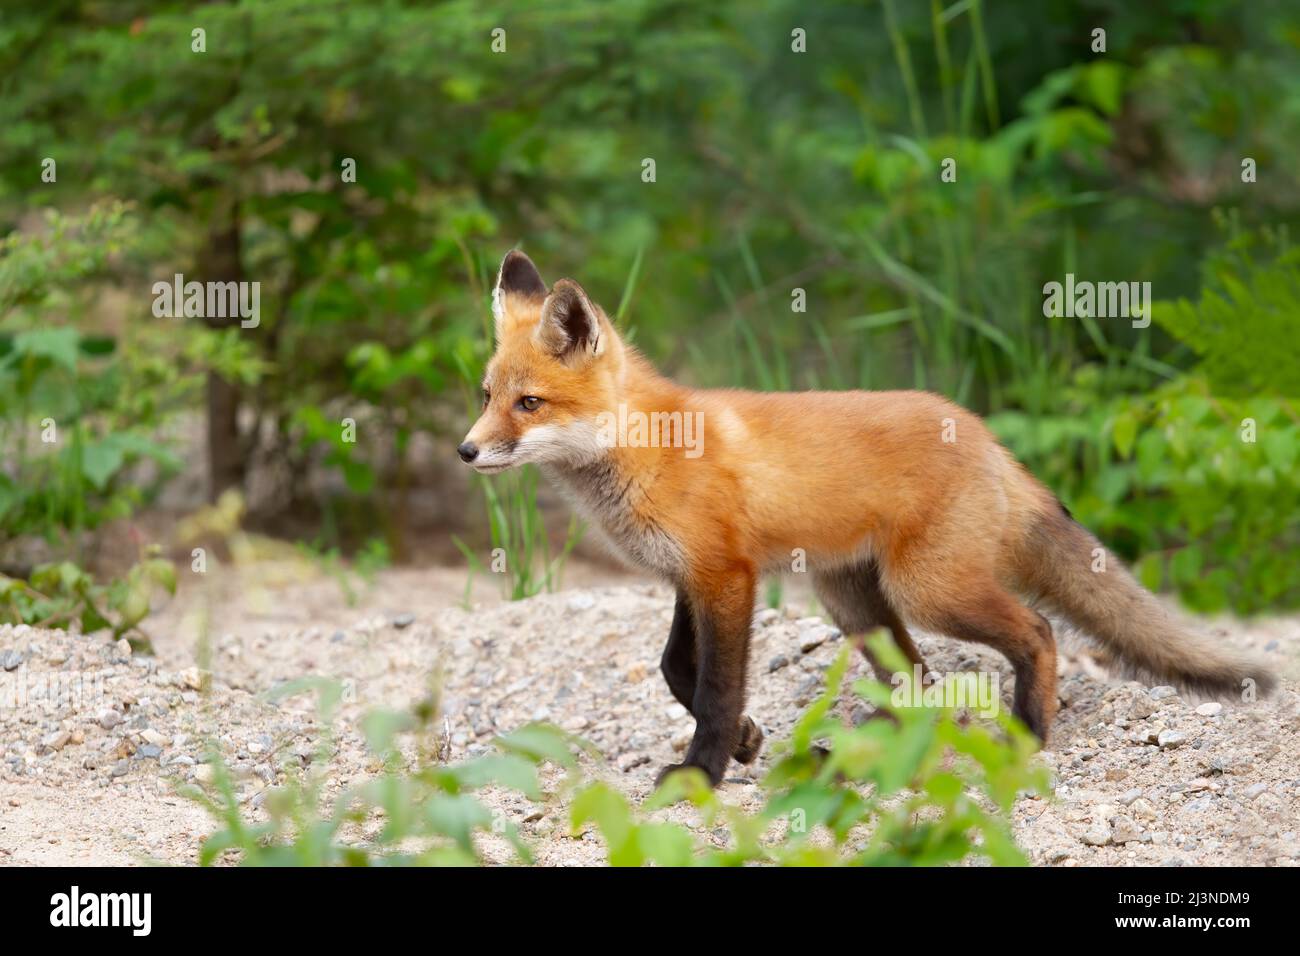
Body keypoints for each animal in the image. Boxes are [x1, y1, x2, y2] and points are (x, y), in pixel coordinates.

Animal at [458, 249, 1276, 787]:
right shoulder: (689, 577)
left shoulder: (725, 575)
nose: (467, 450)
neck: (648, 449)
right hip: (853, 603)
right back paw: (867, 758)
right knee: (917, 681)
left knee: (1039, 633)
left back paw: (1027, 735)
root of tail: (987, 437)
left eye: (529, 403)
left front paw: (703, 770)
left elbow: (715, 689)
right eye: (486, 394)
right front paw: (749, 742)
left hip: (926, 591)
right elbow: (674, 669)